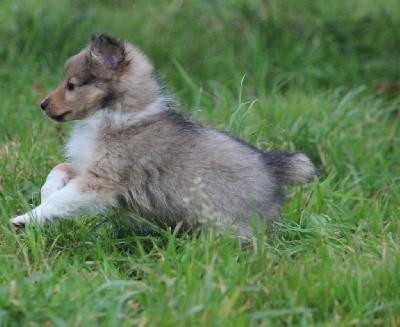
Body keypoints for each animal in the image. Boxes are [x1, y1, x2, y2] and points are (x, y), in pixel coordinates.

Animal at [10, 34, 316, 238]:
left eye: (72, 85)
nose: (42, 105)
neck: (113, 116)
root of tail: (273, 167)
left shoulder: (101, 181)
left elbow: (61, 201)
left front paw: (25, 219)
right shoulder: (88, 166)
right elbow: (59, 169)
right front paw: (46, 191)